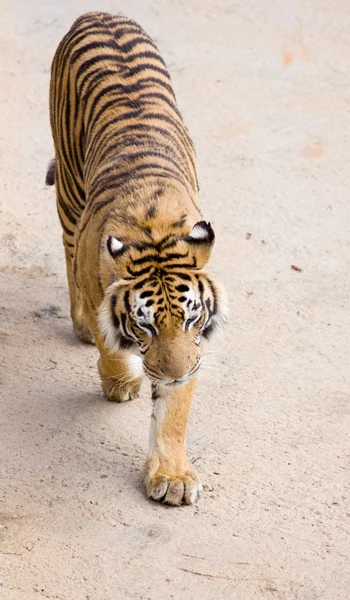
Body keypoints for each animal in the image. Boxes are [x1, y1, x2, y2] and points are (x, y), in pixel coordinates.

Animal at [46, 10, 227, 506]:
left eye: (190, 318)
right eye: (144, 325)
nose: (174, 373)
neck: (155, 231)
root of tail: (96, 13)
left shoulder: (191, 348)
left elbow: (174, 412)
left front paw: (173, 477)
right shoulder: (100, 289)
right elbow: (110, 345)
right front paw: (121, 382)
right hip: (69, 194)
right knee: (67, 252)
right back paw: (82, 328)